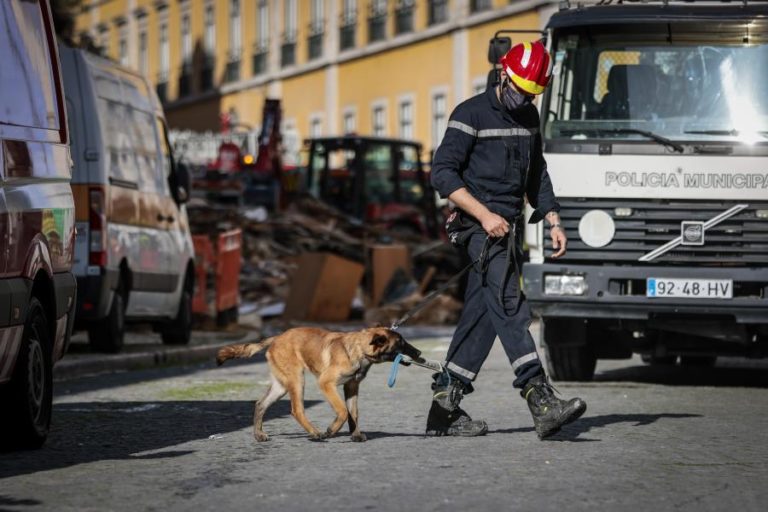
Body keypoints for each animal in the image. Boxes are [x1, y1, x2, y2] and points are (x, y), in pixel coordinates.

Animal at [214, 328, 420, 440]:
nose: (418, 353)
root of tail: (277, 337)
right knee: (296, 410)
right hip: (297, 380)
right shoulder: (326, 383)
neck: (359, 349)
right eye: (401, 343)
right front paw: (332, 429)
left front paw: (355, 435)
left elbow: (353, 413)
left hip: (281, 385)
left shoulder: (351, 387)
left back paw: (259, 434)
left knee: (260, 404)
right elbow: (343, 410)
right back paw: (315, 433)